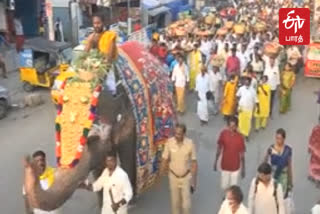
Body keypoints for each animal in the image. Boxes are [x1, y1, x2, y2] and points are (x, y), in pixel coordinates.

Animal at [23, 41, 176, 211]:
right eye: (58, 131)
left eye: (91, 139)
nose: (30, 161)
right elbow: (101, 163)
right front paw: (101, 204)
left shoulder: (130, 121)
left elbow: (127, 154)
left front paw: (131, 202)